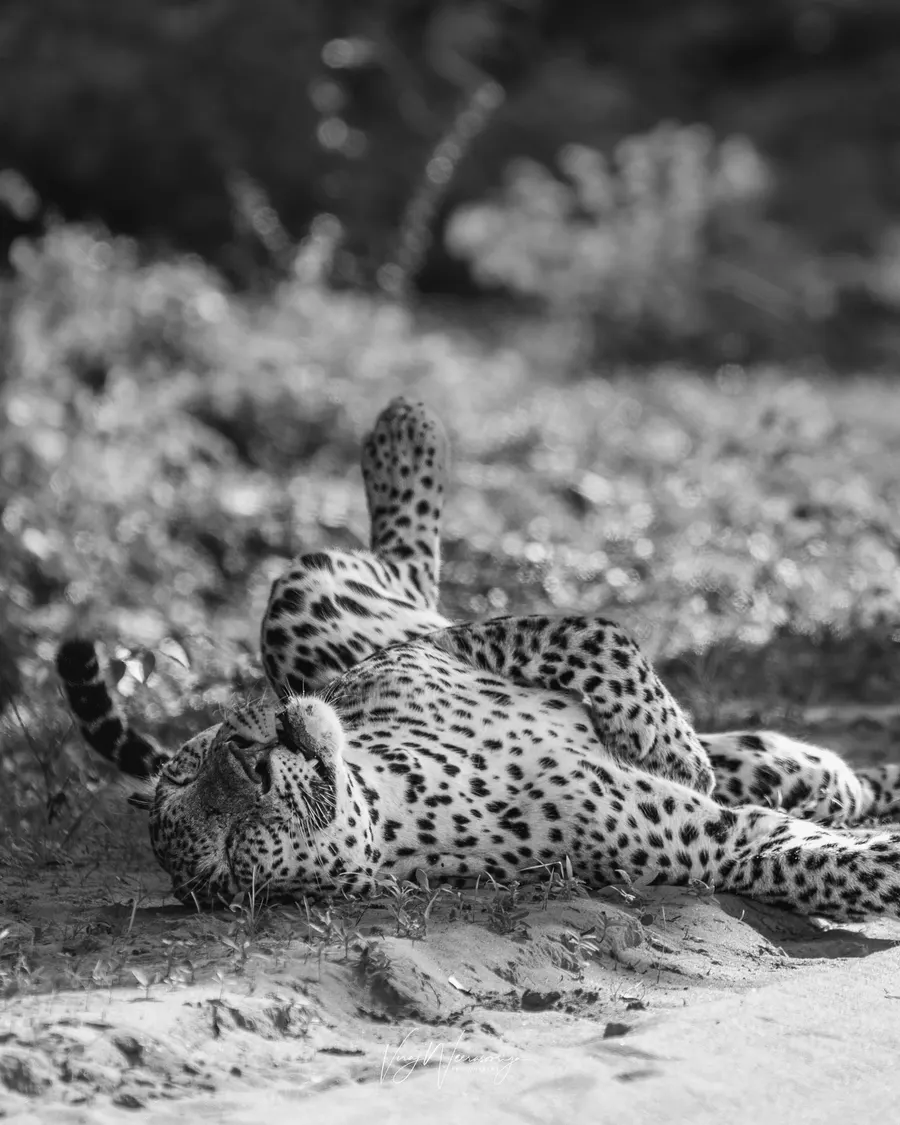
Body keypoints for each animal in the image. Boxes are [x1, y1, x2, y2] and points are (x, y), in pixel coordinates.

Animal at [57, 397, 900, 921]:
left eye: (188, 768)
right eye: (232, 849)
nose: (249, 748)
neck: (386, 785)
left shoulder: (449, 647)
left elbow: (594, 635)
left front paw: (665, 743)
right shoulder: (716, 845)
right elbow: (837, 863)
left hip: (311, 608)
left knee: (399, 559)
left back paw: (404, 430)